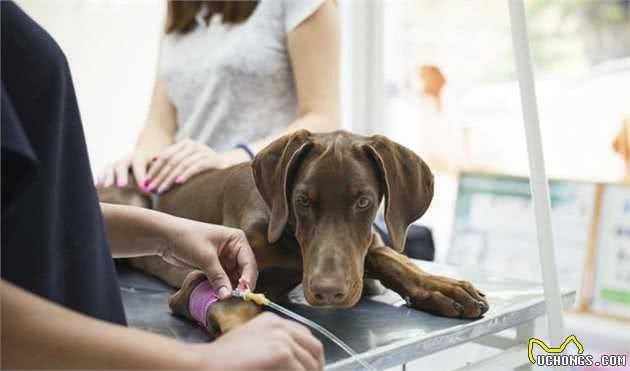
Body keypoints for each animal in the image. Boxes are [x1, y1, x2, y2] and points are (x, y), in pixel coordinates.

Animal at [101, 131, 492, 338]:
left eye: (363, 201)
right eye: (302, 200)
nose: (328, 291)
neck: (291, 243)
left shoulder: (363, 261)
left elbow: (385, 255)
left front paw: (440, 286)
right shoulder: (200, 277)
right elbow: (231, 302)